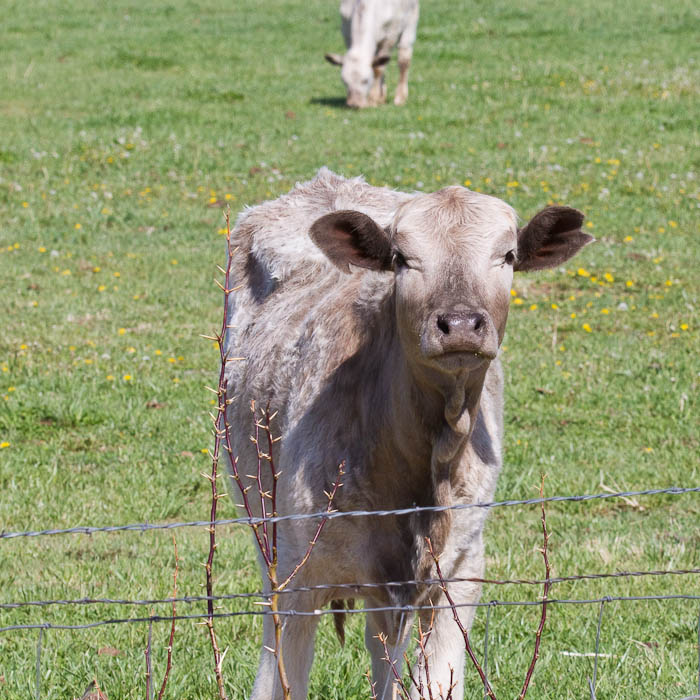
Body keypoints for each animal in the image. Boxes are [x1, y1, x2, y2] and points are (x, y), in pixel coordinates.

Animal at [223, 171, 592, 700]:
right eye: (401, 258)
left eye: (507, 255)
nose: (460, 324)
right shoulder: (296, 579)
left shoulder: (461, 572)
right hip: (264, 528)